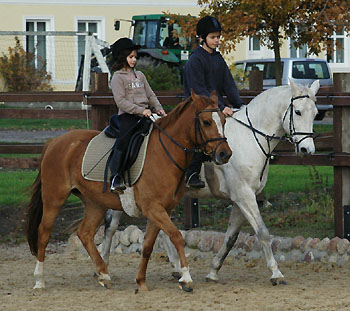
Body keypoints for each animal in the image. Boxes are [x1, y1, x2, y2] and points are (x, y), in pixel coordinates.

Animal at [25, 90, 232, 292]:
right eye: (206, 122)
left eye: (223, 120)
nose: (225, 154)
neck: (165, 154)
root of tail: (54, 142)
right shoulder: (154, 208)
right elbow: (177, 237)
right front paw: (186, 278)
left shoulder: (161, 210)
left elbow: (148, 245)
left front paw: (141, 281)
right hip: (54, 198)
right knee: (44, 233)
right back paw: (39, 280)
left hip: (95, 203)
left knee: (85, 233)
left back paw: (103, 274)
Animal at [97, 80, 318, 286]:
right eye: (297, 112)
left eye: (315, 113)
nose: (307, 150)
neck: (250, 138)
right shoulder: (244, 196)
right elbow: (263, 233)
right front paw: (276, 273)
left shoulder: (242, 199)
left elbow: (230, 238)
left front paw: (213, 271)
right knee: (112, 225)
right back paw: (103, 267)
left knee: (155, 229)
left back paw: (175, 266)